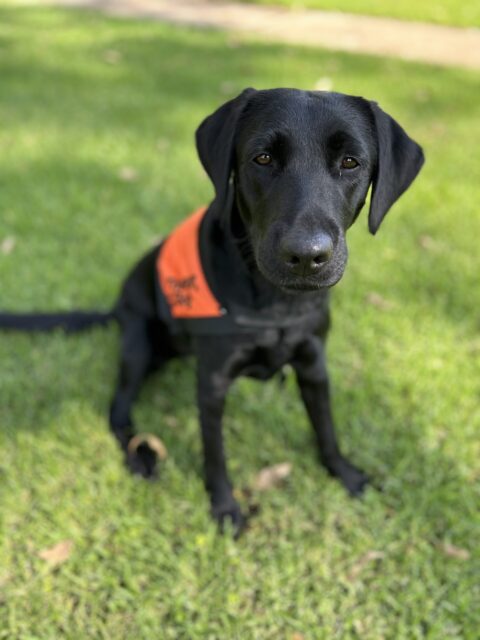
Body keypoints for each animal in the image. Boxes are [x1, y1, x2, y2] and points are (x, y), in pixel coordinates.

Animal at [0, 87, 422, 532]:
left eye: (350, 162)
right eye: (263, 158)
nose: (307, 256)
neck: (275, 304)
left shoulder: (313, 364)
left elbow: (325, 427)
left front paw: (343, 472)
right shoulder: (214, 382)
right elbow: (214, 452)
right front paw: (223, 506)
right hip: (137, 344)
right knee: (118, 410)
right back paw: (139, 454)